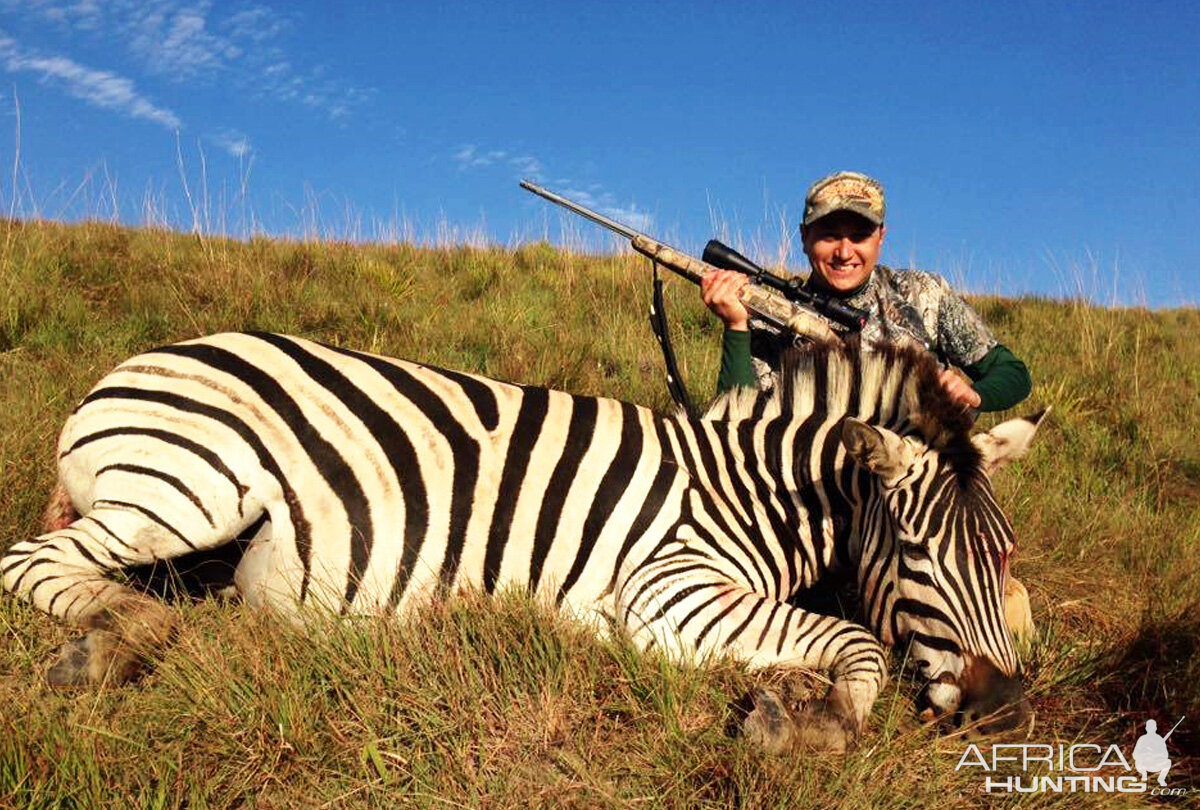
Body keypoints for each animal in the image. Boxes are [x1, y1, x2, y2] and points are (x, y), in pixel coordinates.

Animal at [0, 333, 1041, 748]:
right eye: (918, 555)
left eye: (1002, 555)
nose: (999, 707)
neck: (746, 489)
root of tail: (139, 361)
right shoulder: (667, 595)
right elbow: (853, 640)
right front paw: (822, 720)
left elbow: (835, 637)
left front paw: (791, 702)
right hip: (192, 489)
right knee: (33, 564)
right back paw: (114, 642)